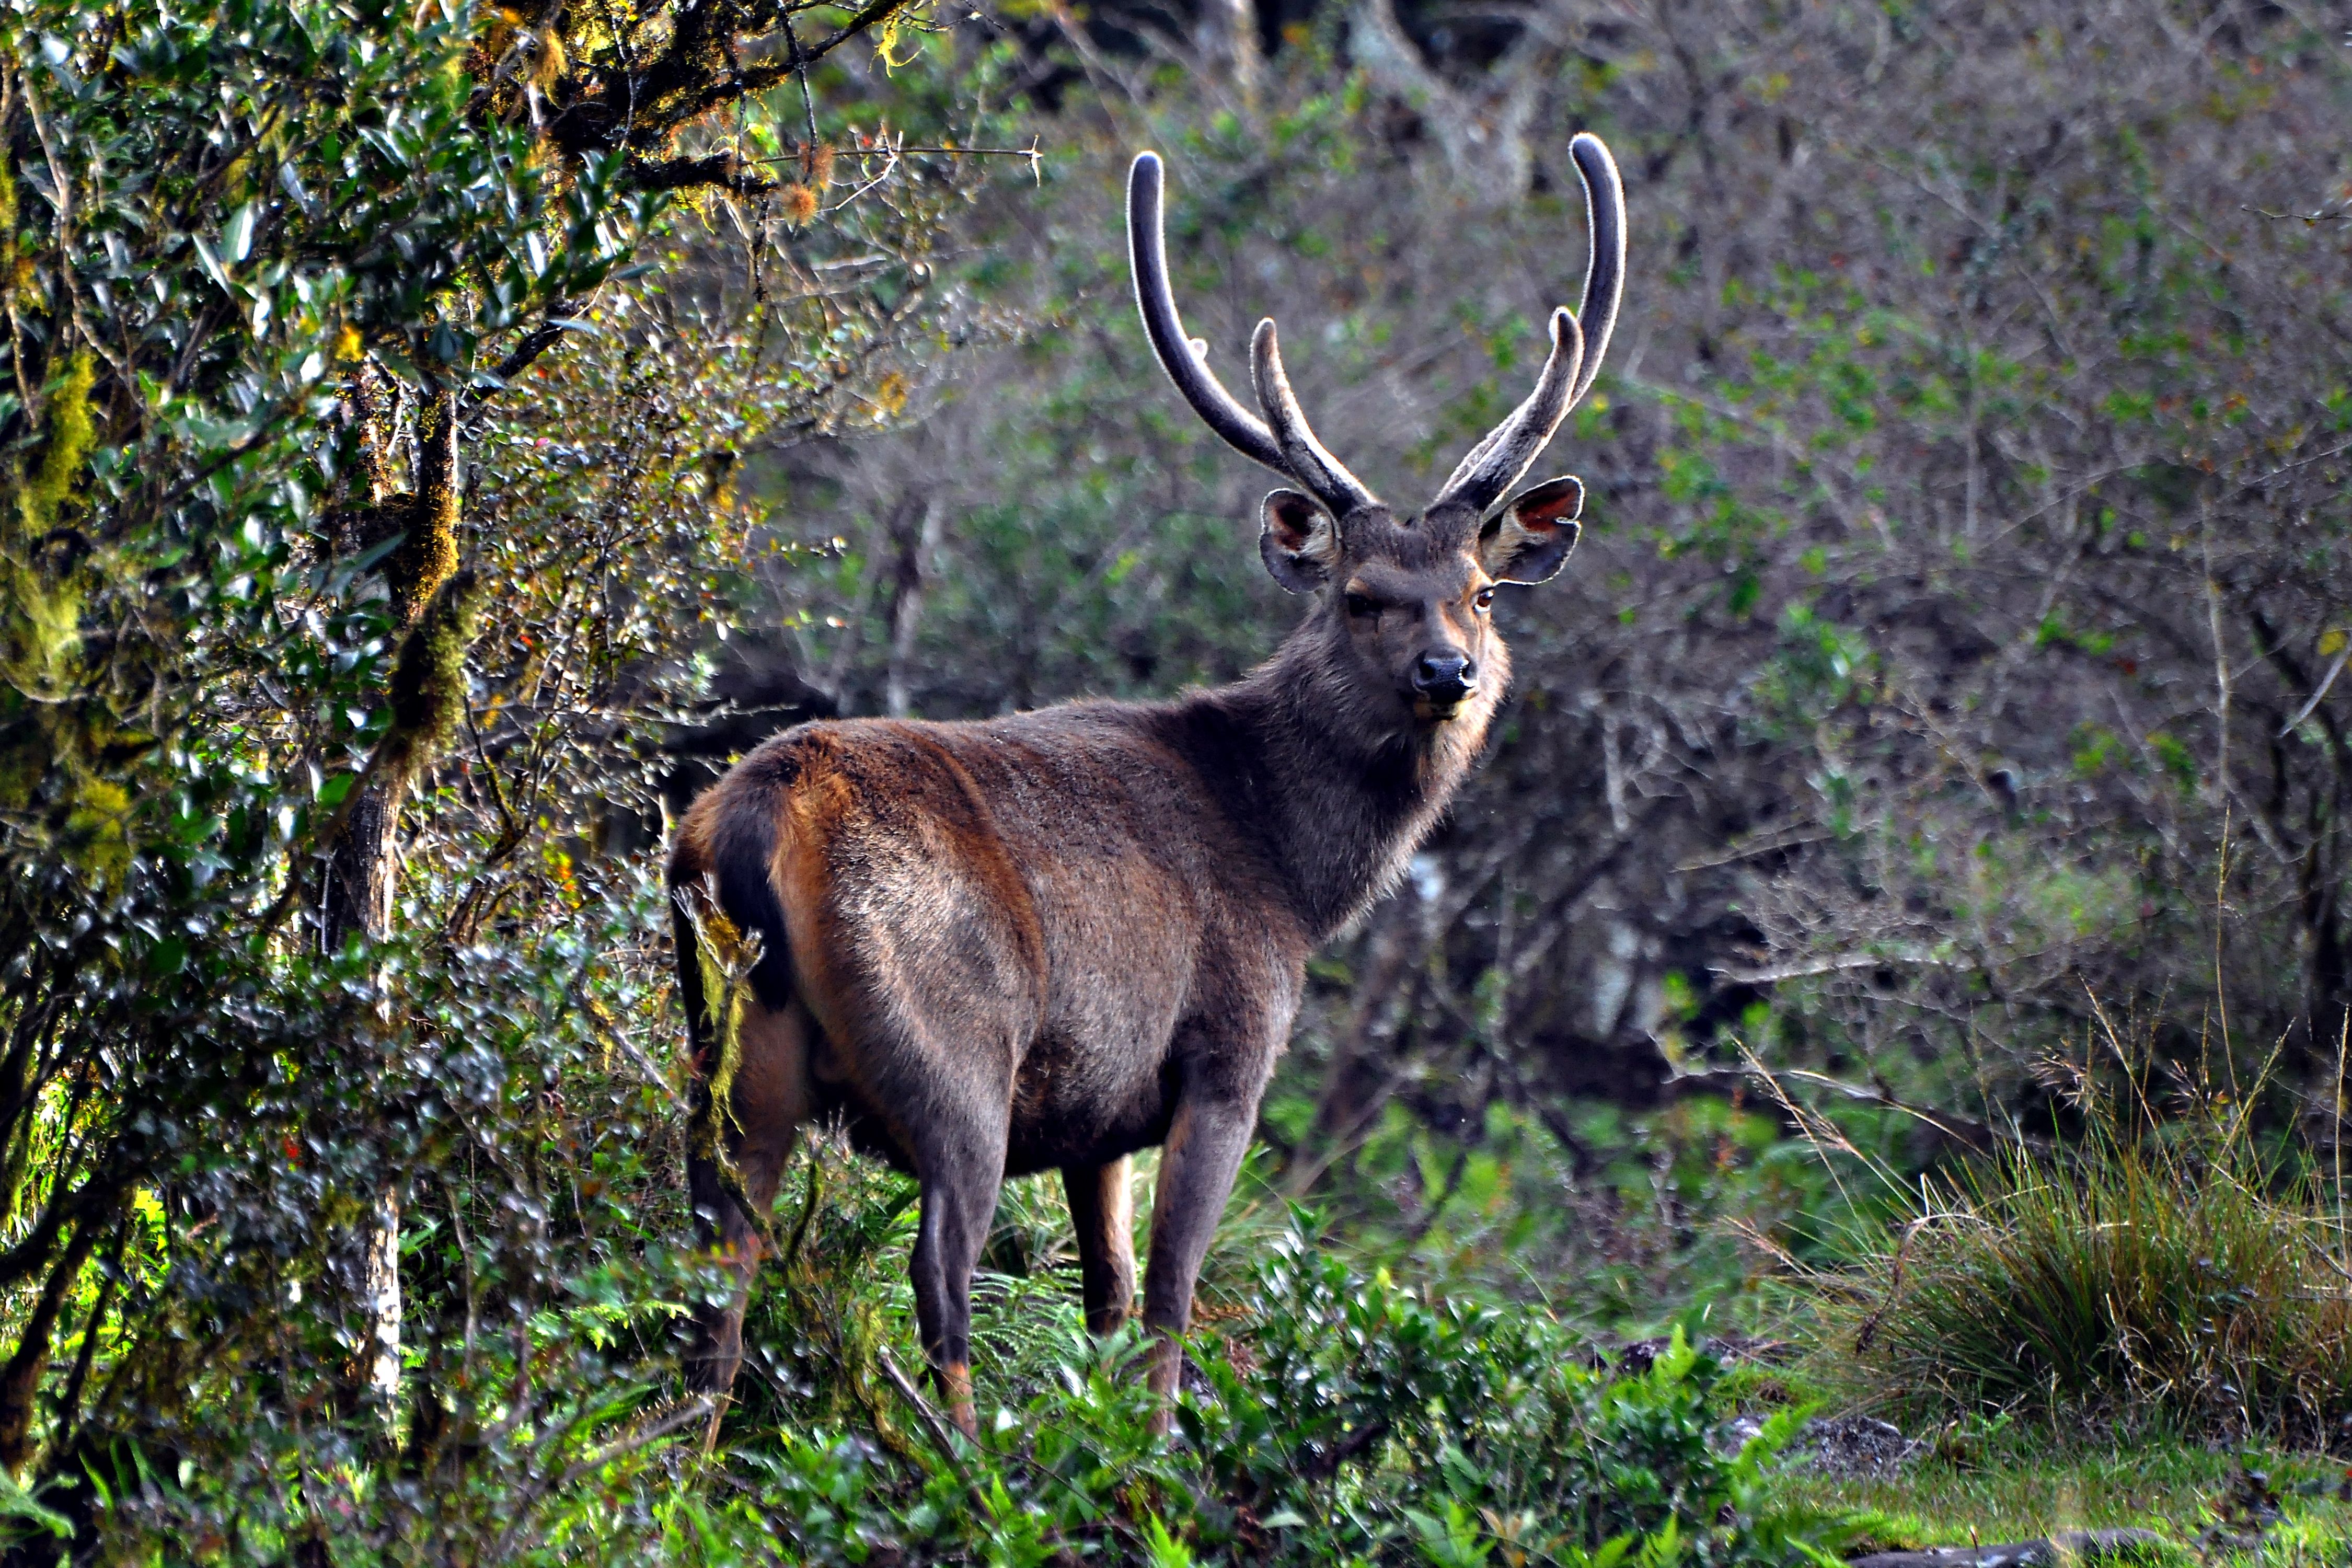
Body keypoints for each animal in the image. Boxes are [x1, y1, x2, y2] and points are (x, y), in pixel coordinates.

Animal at [669, 133, 1625, 1437]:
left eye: (1479, 591)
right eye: (1360, 595)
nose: (1449, 673)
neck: (1294, 873)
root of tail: (752, 825)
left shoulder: (1097, 1112)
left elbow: (1108, 1297)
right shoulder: (1226, 1052)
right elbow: (1171, 1293)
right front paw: (1156, 1452)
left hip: (733, 1049)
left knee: (717, 1265)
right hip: (956, 1049)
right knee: (939, 1273)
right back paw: (963, 1461)